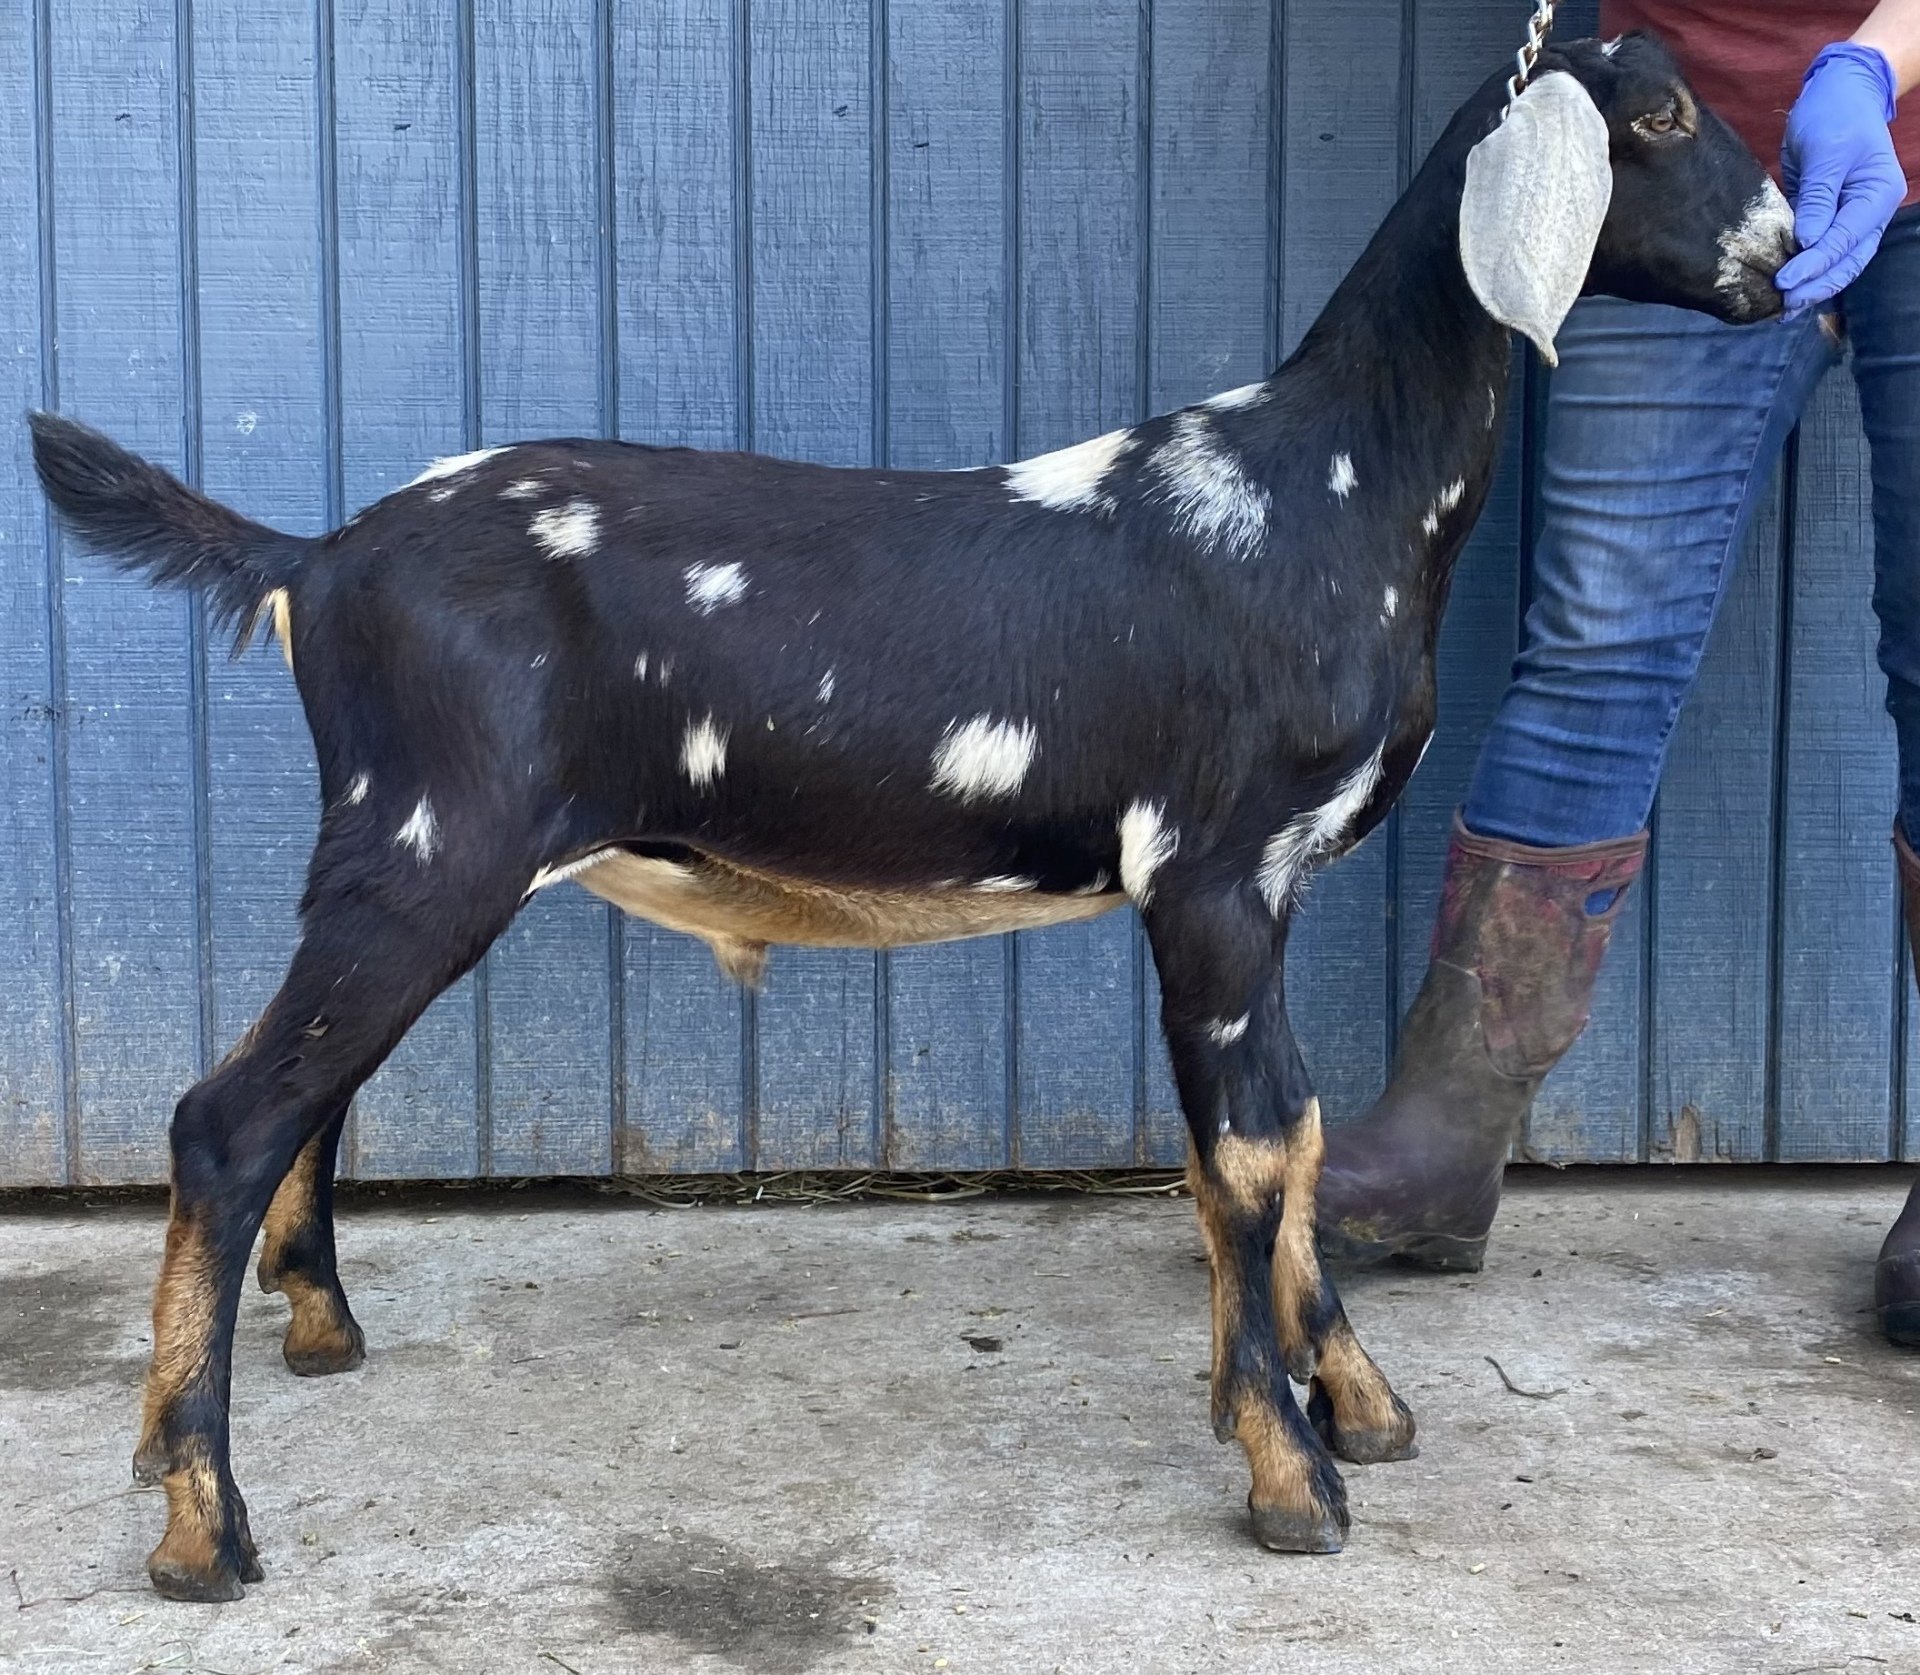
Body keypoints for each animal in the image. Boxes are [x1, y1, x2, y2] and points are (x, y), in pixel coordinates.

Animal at [30, 32, 1791, 1600]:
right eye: (1665, 112)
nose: (1782, 256)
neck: (1320, 491)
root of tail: (315, 559)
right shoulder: (1212, 872)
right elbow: (1240, 1153)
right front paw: (1292, 1473)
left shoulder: (1266, 887)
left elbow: (1288, 1133)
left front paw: (1351, 1397)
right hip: (429, 842)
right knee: (225, 1117)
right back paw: (199, 1521)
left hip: (397, 855)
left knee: (305, 1096)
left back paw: (311, 1333)